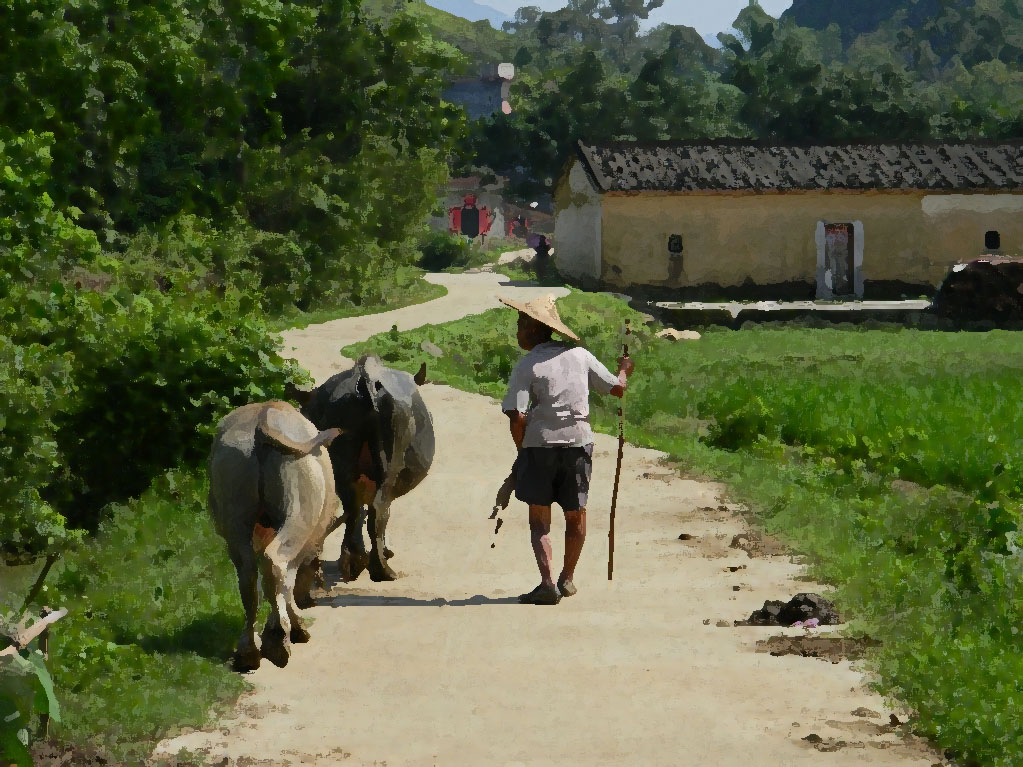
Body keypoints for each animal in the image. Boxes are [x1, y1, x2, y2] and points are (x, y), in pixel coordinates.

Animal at [209, 402, 341, 670]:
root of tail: (262, 421)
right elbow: (289, 582)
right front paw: (296, 629)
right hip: (298, 494)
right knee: (276, 560)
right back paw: (279, 643)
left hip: (232, 478)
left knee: (247, 571)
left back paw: (248, 653)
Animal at [298, 353, 435, 580]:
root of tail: (366, 378)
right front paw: (385, 552)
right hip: (391, 454)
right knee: (380, 508)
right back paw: (381, 569)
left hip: (341, 443)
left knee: (352, 506)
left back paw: (353, 562)